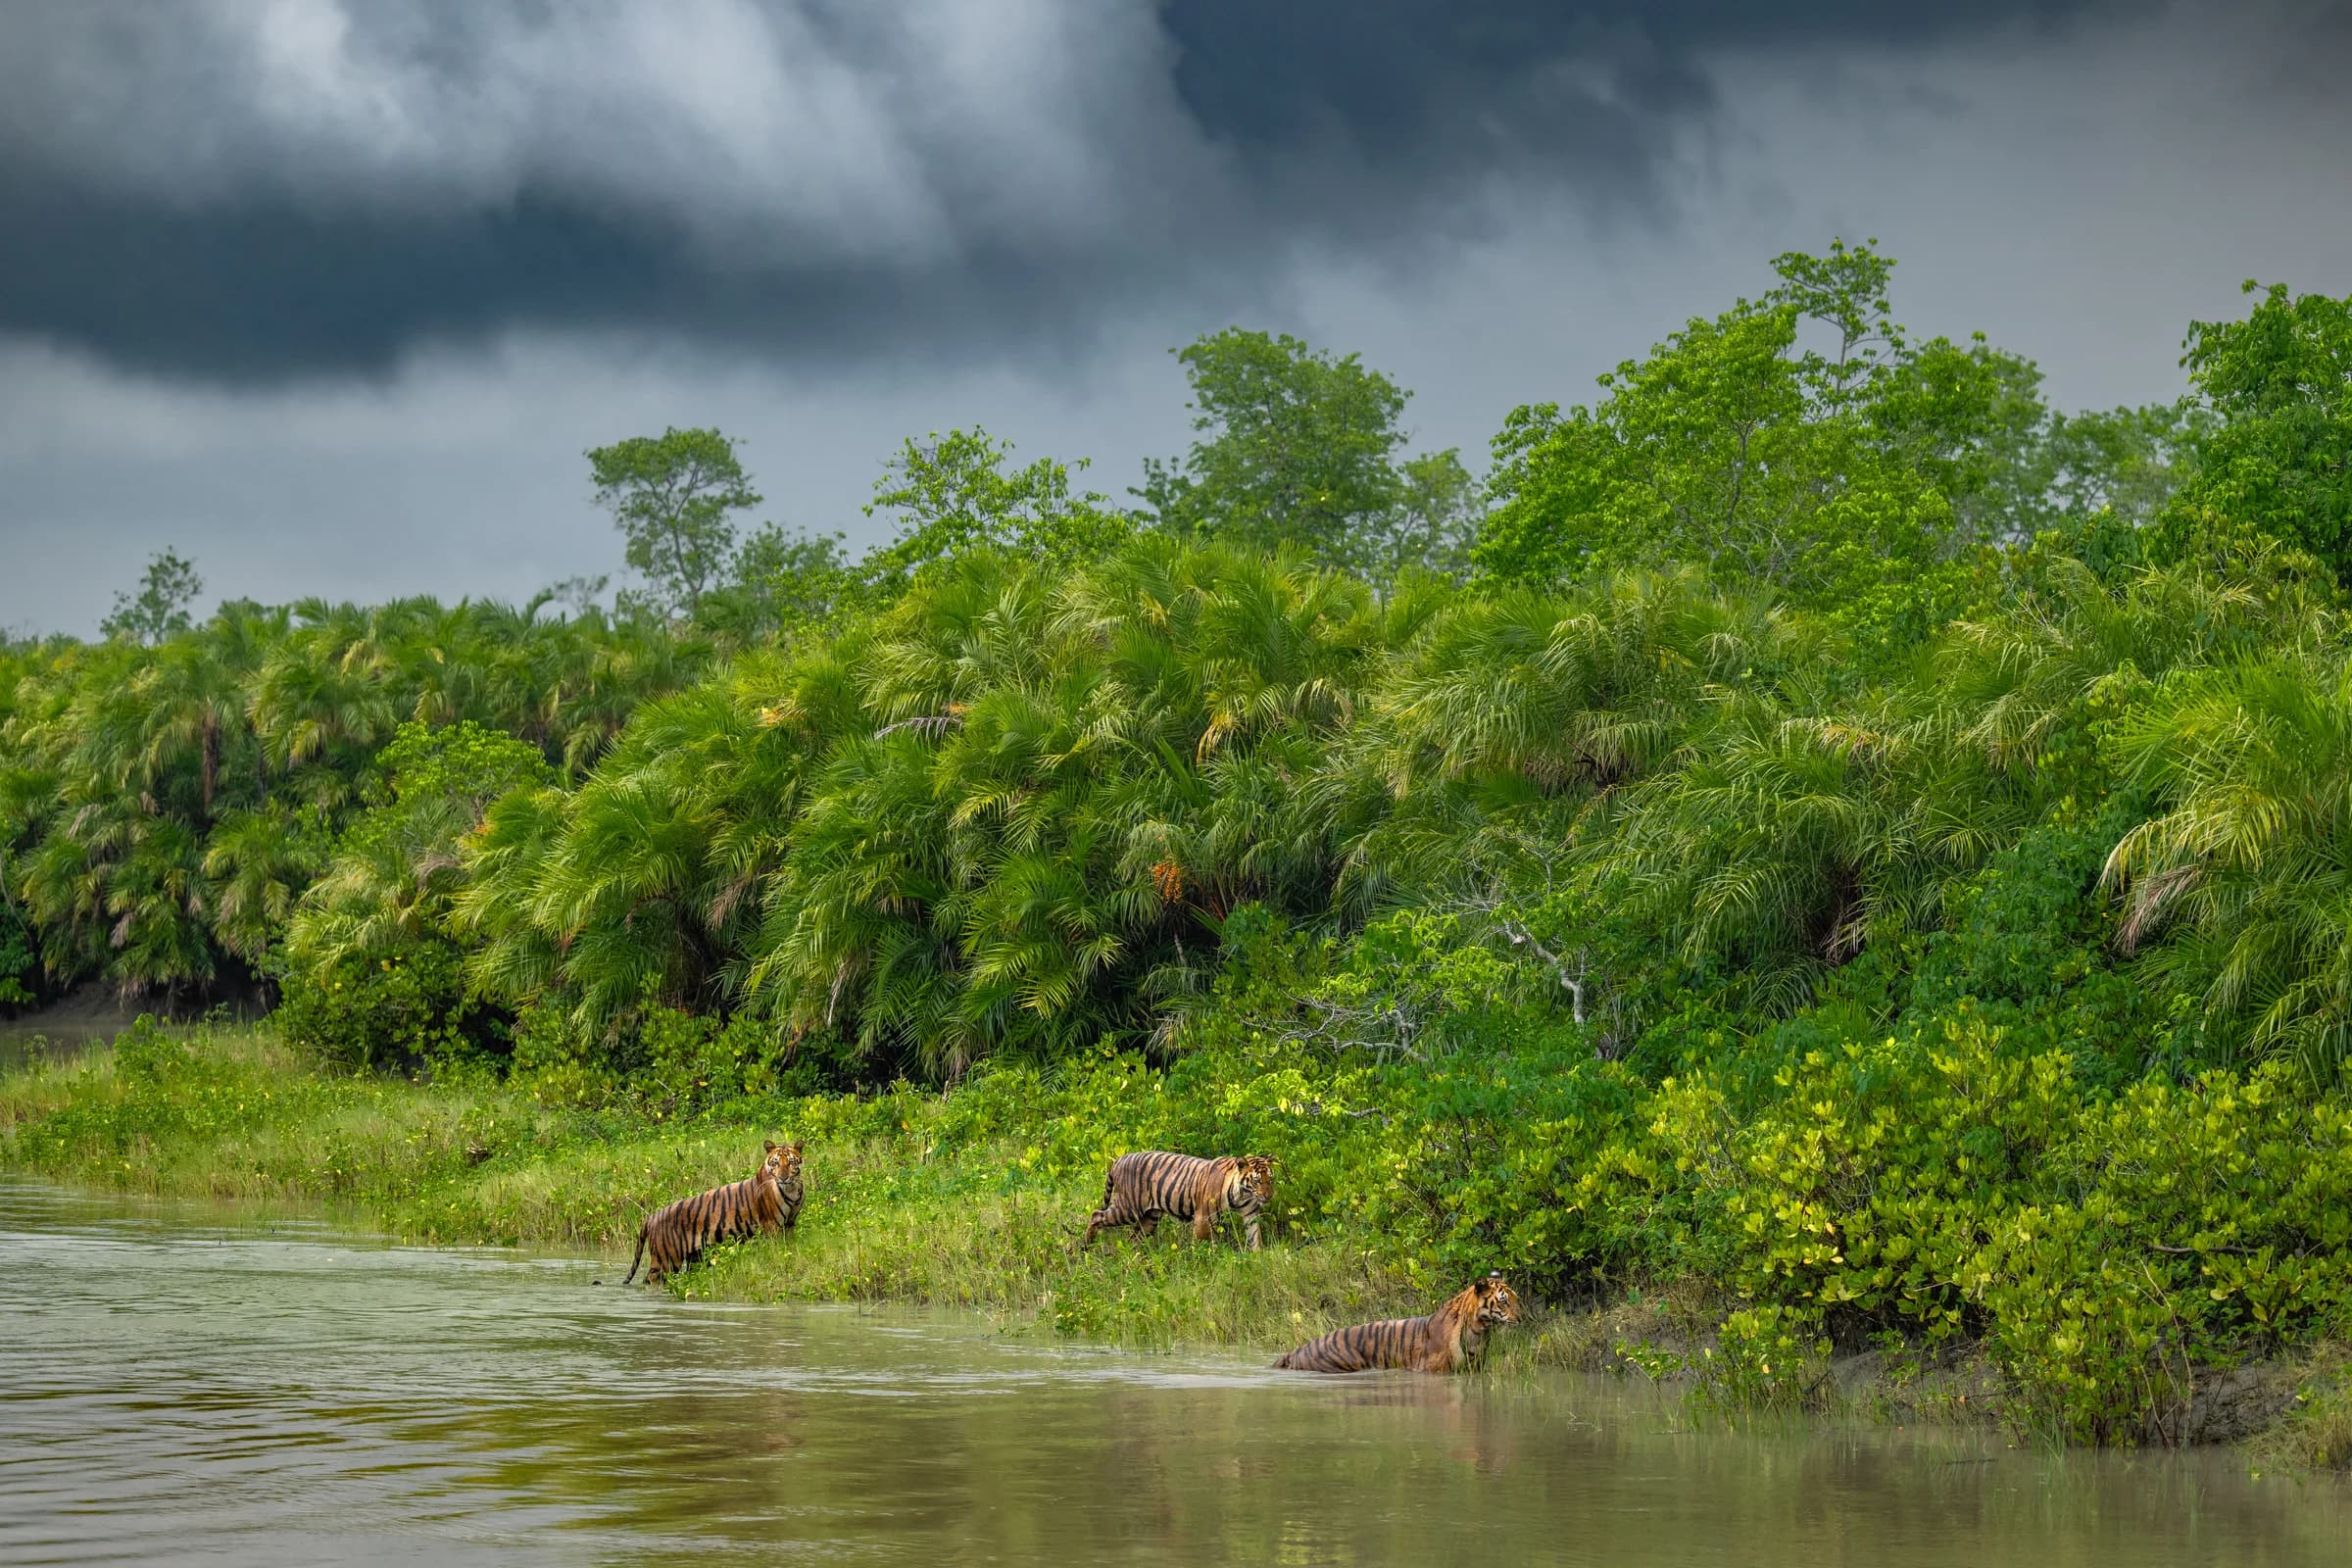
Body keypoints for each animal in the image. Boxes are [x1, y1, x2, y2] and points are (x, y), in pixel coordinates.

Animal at [621, 1139, 804, 1286]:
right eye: (776, 1163)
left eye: (790, 1162)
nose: (783, 1178)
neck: (793, 1189)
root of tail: (651, 1217)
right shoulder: (772, 1225)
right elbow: (778, 1249)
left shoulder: (790, 1223)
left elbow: (790, 1245)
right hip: (666, 1260)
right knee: (651, 1278)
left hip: (695, 1258)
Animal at [1080, 1151, 1272, 1253]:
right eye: (1257, 1181)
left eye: (1270, 1179)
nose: (1269, 1196)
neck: (1243, 1194)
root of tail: (1118, 1160)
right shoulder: (1203, 1216)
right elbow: (1203, 1243)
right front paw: (1205, 1262)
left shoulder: (1250, 1214)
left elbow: (1255, 1237)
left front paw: (1258, 1258)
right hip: (1127, 1208)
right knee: (1096, 1215)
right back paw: (1086, 1247)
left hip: (1150, 1217)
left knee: (1134, 1238)